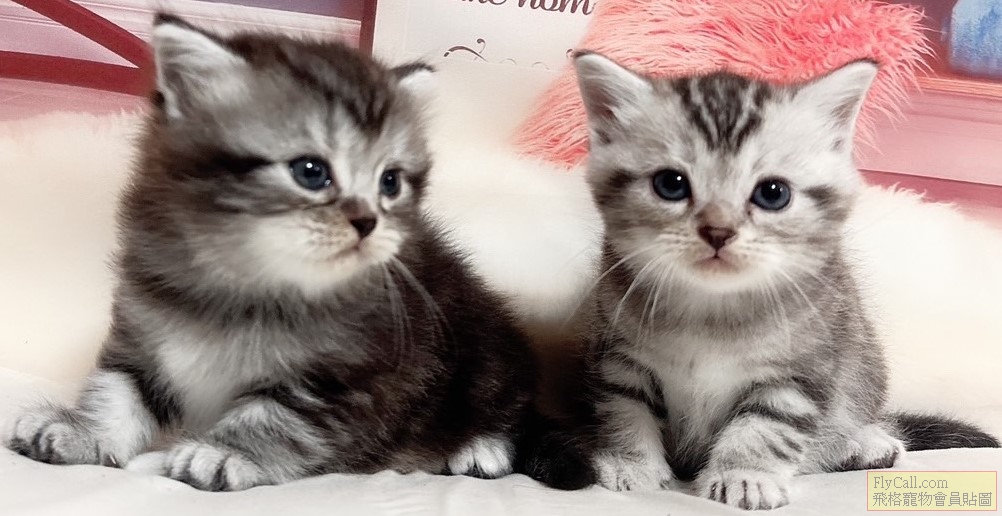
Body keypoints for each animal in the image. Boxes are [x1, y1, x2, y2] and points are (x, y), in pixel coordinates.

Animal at [5, 14, 542, 491]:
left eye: (390, 182)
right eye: (311, 171)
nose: (368, 222)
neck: (238, 284)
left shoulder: (341, 377)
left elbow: (278, 418)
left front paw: (225, 454)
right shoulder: (142, 332)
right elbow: (118, 391)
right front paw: (83, 433)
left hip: (481, 348)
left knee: (507, 406)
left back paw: (480, 448)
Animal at [564, 52, 999, 509]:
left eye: (772, 193)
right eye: (671, 184)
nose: (718, 231)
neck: (711, 309)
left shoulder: (802, 367)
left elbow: (766, 425)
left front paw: (745, 475)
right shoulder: (619, 354)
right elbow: (626, 409)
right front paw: (632, 464)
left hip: (860, 361)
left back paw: (859, 443)